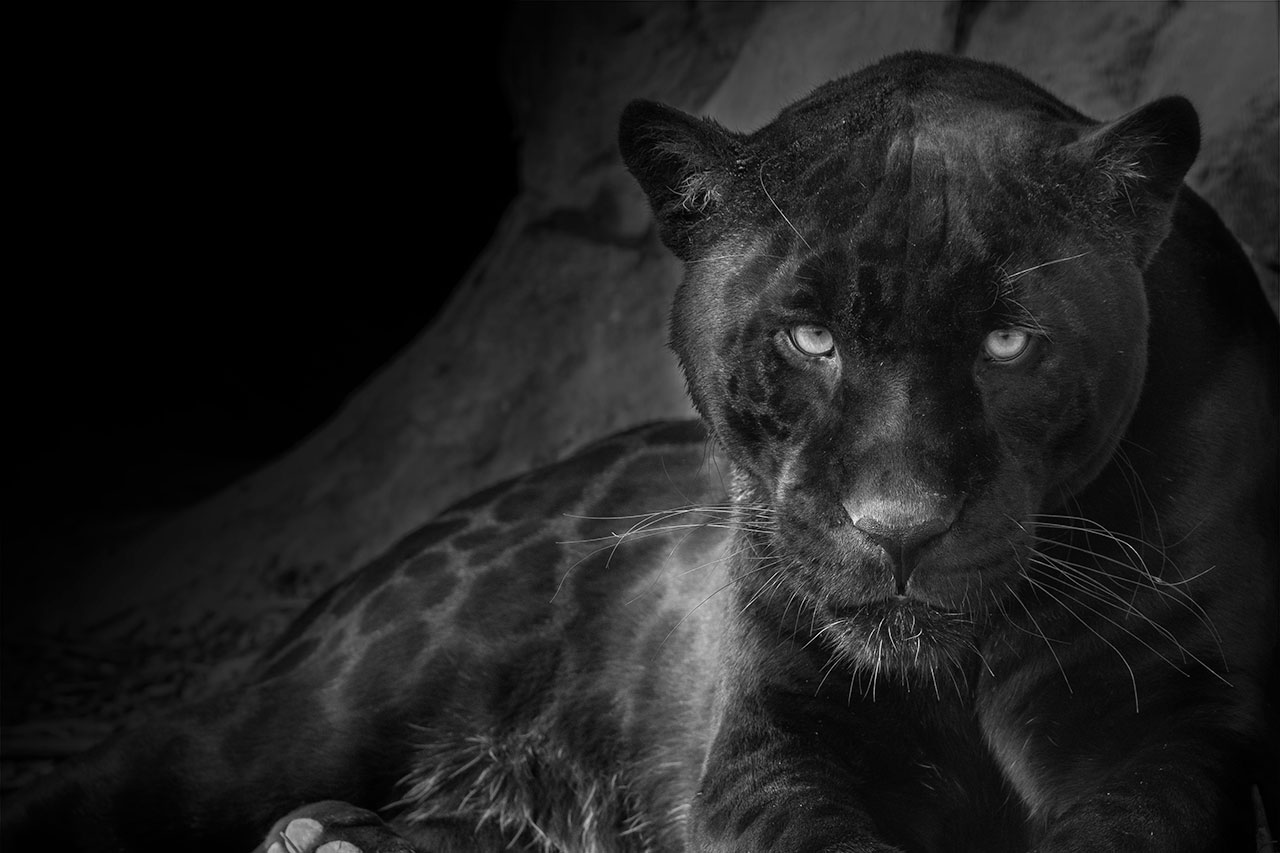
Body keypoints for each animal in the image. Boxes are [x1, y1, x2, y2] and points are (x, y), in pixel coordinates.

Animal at [3, 51, 1276, 853]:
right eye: (809, 337)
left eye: (1008, 341)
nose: (899, 526)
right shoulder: (768, 745)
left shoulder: (1166, 730)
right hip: (308, 710)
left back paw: (335, 840)